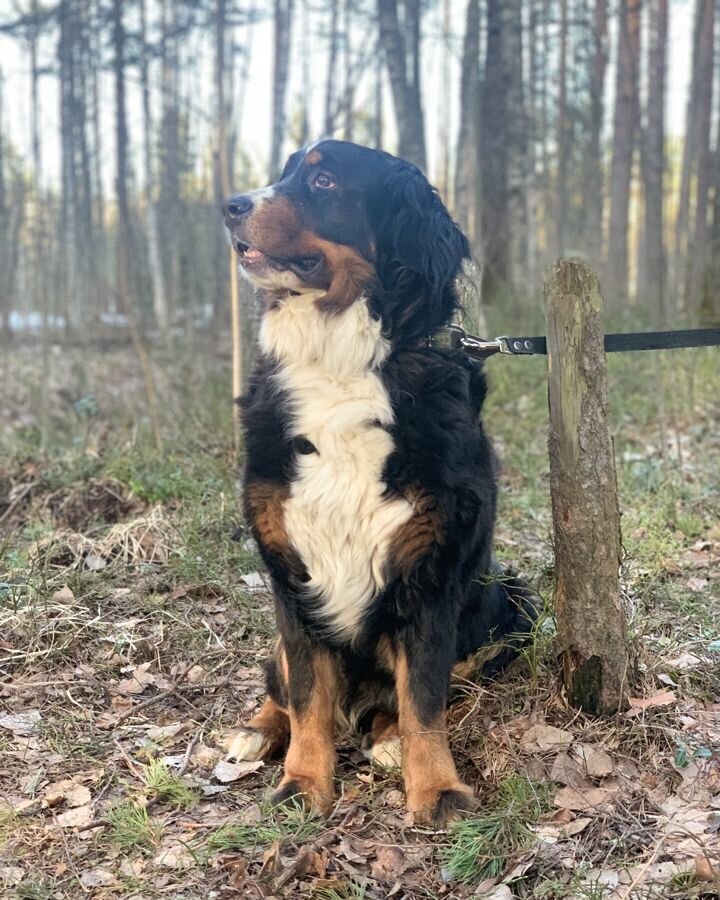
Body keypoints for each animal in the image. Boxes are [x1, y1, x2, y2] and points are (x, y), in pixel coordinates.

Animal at [222, 142, 536, 828]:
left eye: (322, 178)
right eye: (285, 170)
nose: (229, 205)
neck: (340, 363)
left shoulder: (430, 570)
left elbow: (423, 698)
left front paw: (436, 789)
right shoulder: (290, 572)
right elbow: (307, 694)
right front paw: (302, 782)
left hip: (510, 601)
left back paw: (385, 734)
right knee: (280, 679)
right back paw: (258, 729)